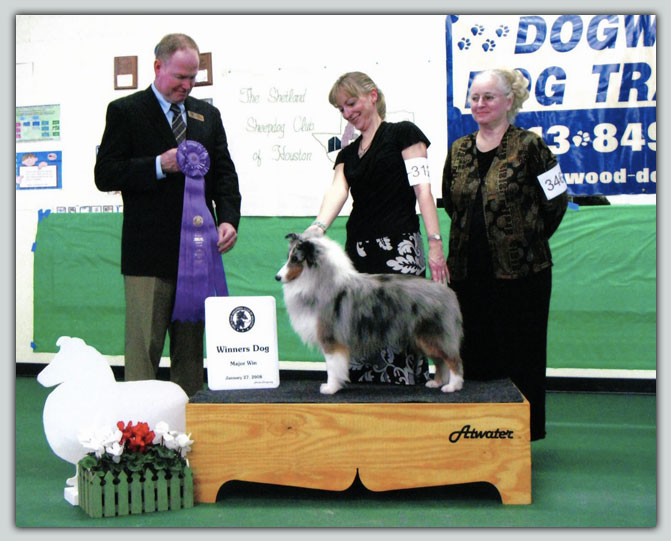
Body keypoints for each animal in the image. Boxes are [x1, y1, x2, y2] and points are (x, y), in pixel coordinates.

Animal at [276, 231, 464, 392]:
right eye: (288, 257)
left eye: (295, 259)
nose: (277, 277)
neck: (317, 279)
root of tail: (446, 291)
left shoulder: (330, 337)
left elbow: (332, 366)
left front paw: (330, 388)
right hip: (424, 338)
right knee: (440, 362)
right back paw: (436, 382)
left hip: (434, 335)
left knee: (453, 360)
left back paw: (452, 386)